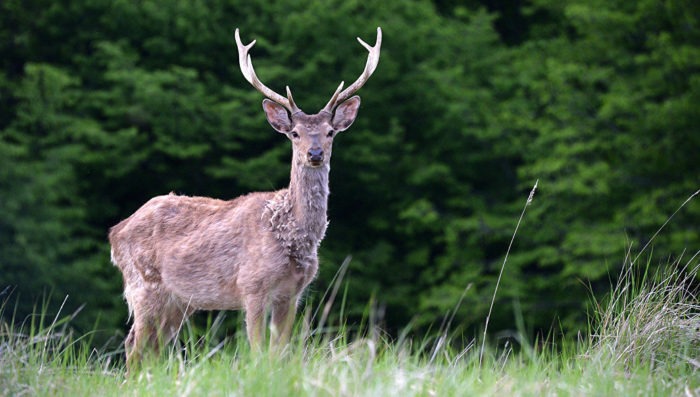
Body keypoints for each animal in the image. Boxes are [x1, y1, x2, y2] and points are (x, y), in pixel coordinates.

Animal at [109, 27, 382, 368]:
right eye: (295, 133)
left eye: (331, 131)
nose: (315, 153)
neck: (291, 234)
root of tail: (115, 231)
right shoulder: (251, 286)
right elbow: (257, 351)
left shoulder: (292, 294)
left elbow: (280, 353)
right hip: (143, 284)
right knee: (134, 345)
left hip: (178, 301)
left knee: (152, 348)